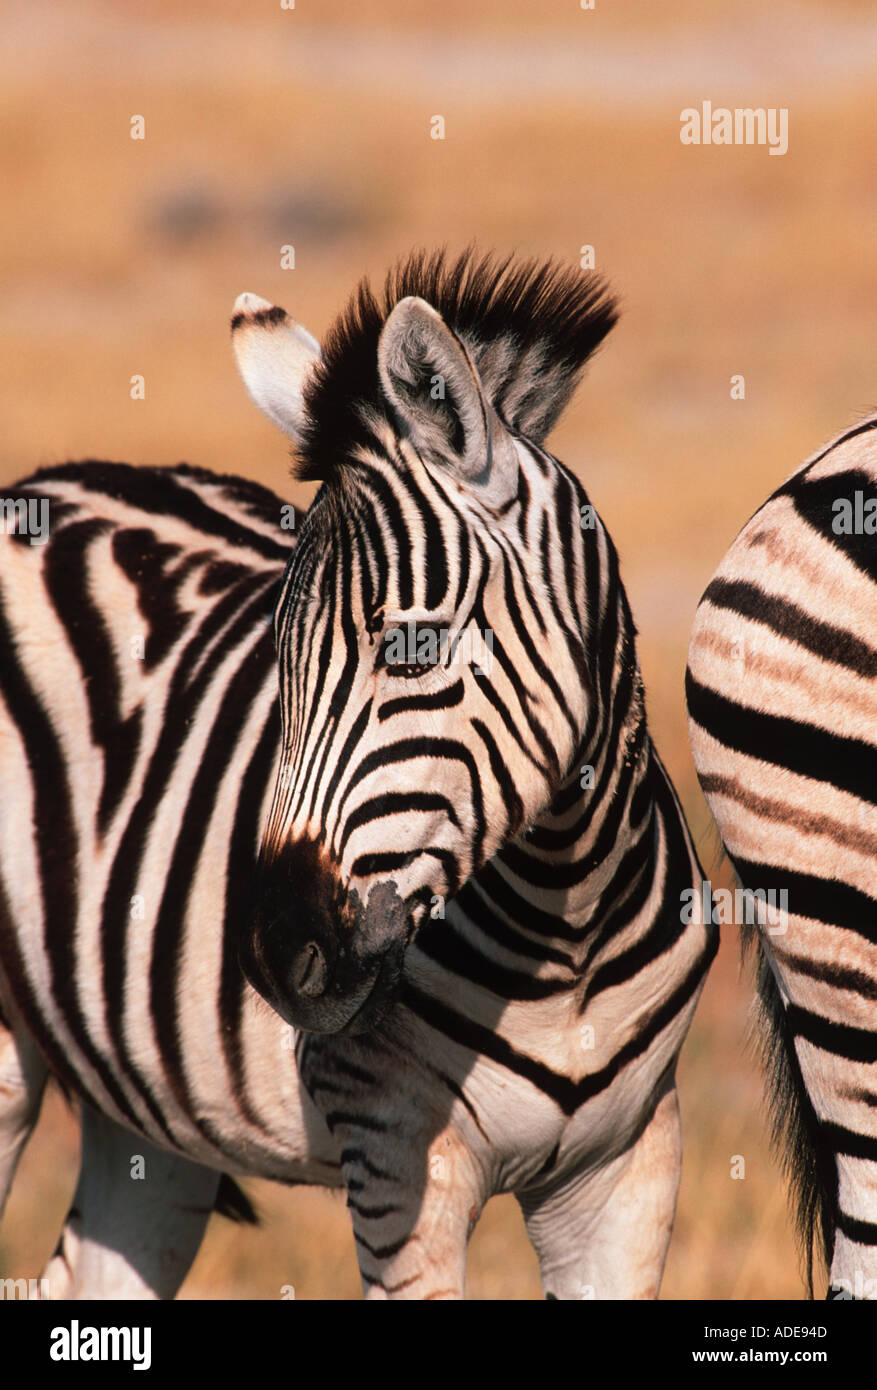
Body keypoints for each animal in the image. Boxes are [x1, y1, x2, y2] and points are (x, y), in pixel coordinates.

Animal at [0, 248, 717, 1300]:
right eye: (278, 656)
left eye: (412, 650)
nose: (274, 950)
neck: (569, 929)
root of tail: (43, 482)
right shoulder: (397, 1153)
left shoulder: (629, 1165)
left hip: (147, 1118)